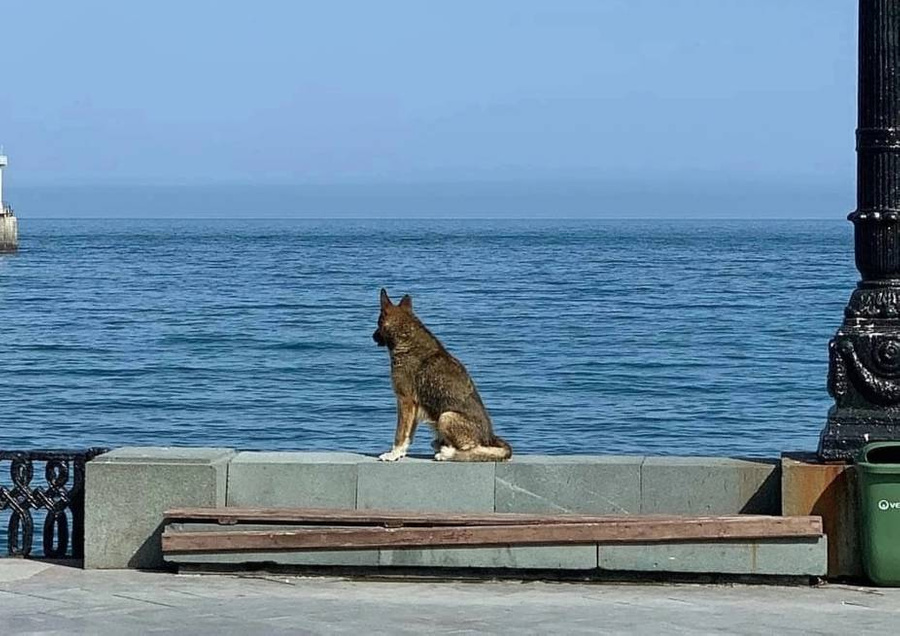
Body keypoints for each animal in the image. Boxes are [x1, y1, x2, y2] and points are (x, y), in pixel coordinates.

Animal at [372, 288, 512, 462]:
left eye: (378, 323)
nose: (372, 336)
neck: (405, 336)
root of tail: (491, 437)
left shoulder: (405, 401)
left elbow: (400, 434)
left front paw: (393, 454)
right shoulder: (413, 406)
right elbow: (408, 435)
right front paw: (401, 453)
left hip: (446, 417)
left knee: (473, 450)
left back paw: (447, 453)